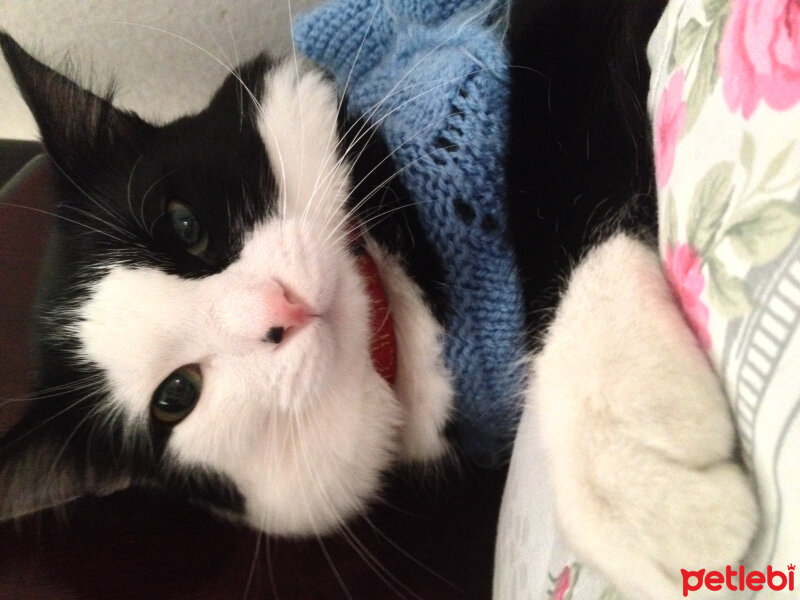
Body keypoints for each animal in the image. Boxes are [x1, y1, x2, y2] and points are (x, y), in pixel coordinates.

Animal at [0, 1, 760, 596]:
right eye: (175, 396)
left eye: (183, 226)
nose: (278, 311)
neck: (403, 313)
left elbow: (559, 166)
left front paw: (626, 468)